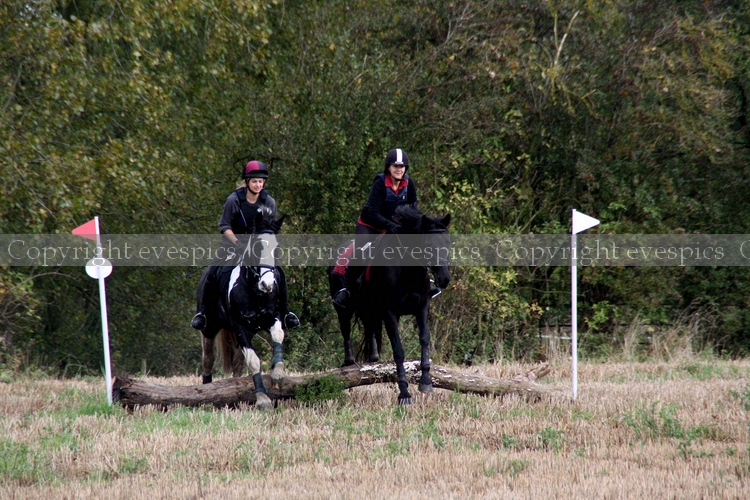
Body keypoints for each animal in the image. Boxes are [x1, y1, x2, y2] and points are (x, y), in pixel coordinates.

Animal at [199, 210, 286, 410]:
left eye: (276, 247)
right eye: (257, 246)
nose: (267, 285)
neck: (255, 291)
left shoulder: (274, 317)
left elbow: (278, 335)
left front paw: (277, 372)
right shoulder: (240, 326)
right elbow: (253, 361)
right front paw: (262, 399)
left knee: (237, 363)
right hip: (210, 328)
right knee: (208, 359)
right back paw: (207, 390)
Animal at [329, 204, 451, 404]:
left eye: (448, 243)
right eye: (429, 245)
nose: (444, 279)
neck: (408, 270)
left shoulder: (422, 306)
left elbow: (424, 338)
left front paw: (426, 382)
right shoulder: (390, 312)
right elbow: (398, 350)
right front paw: (404, 394)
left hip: (368, 309)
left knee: (369, 326)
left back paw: (373, 357)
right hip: (343, 308)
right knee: (345, 328)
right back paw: (349, 361)